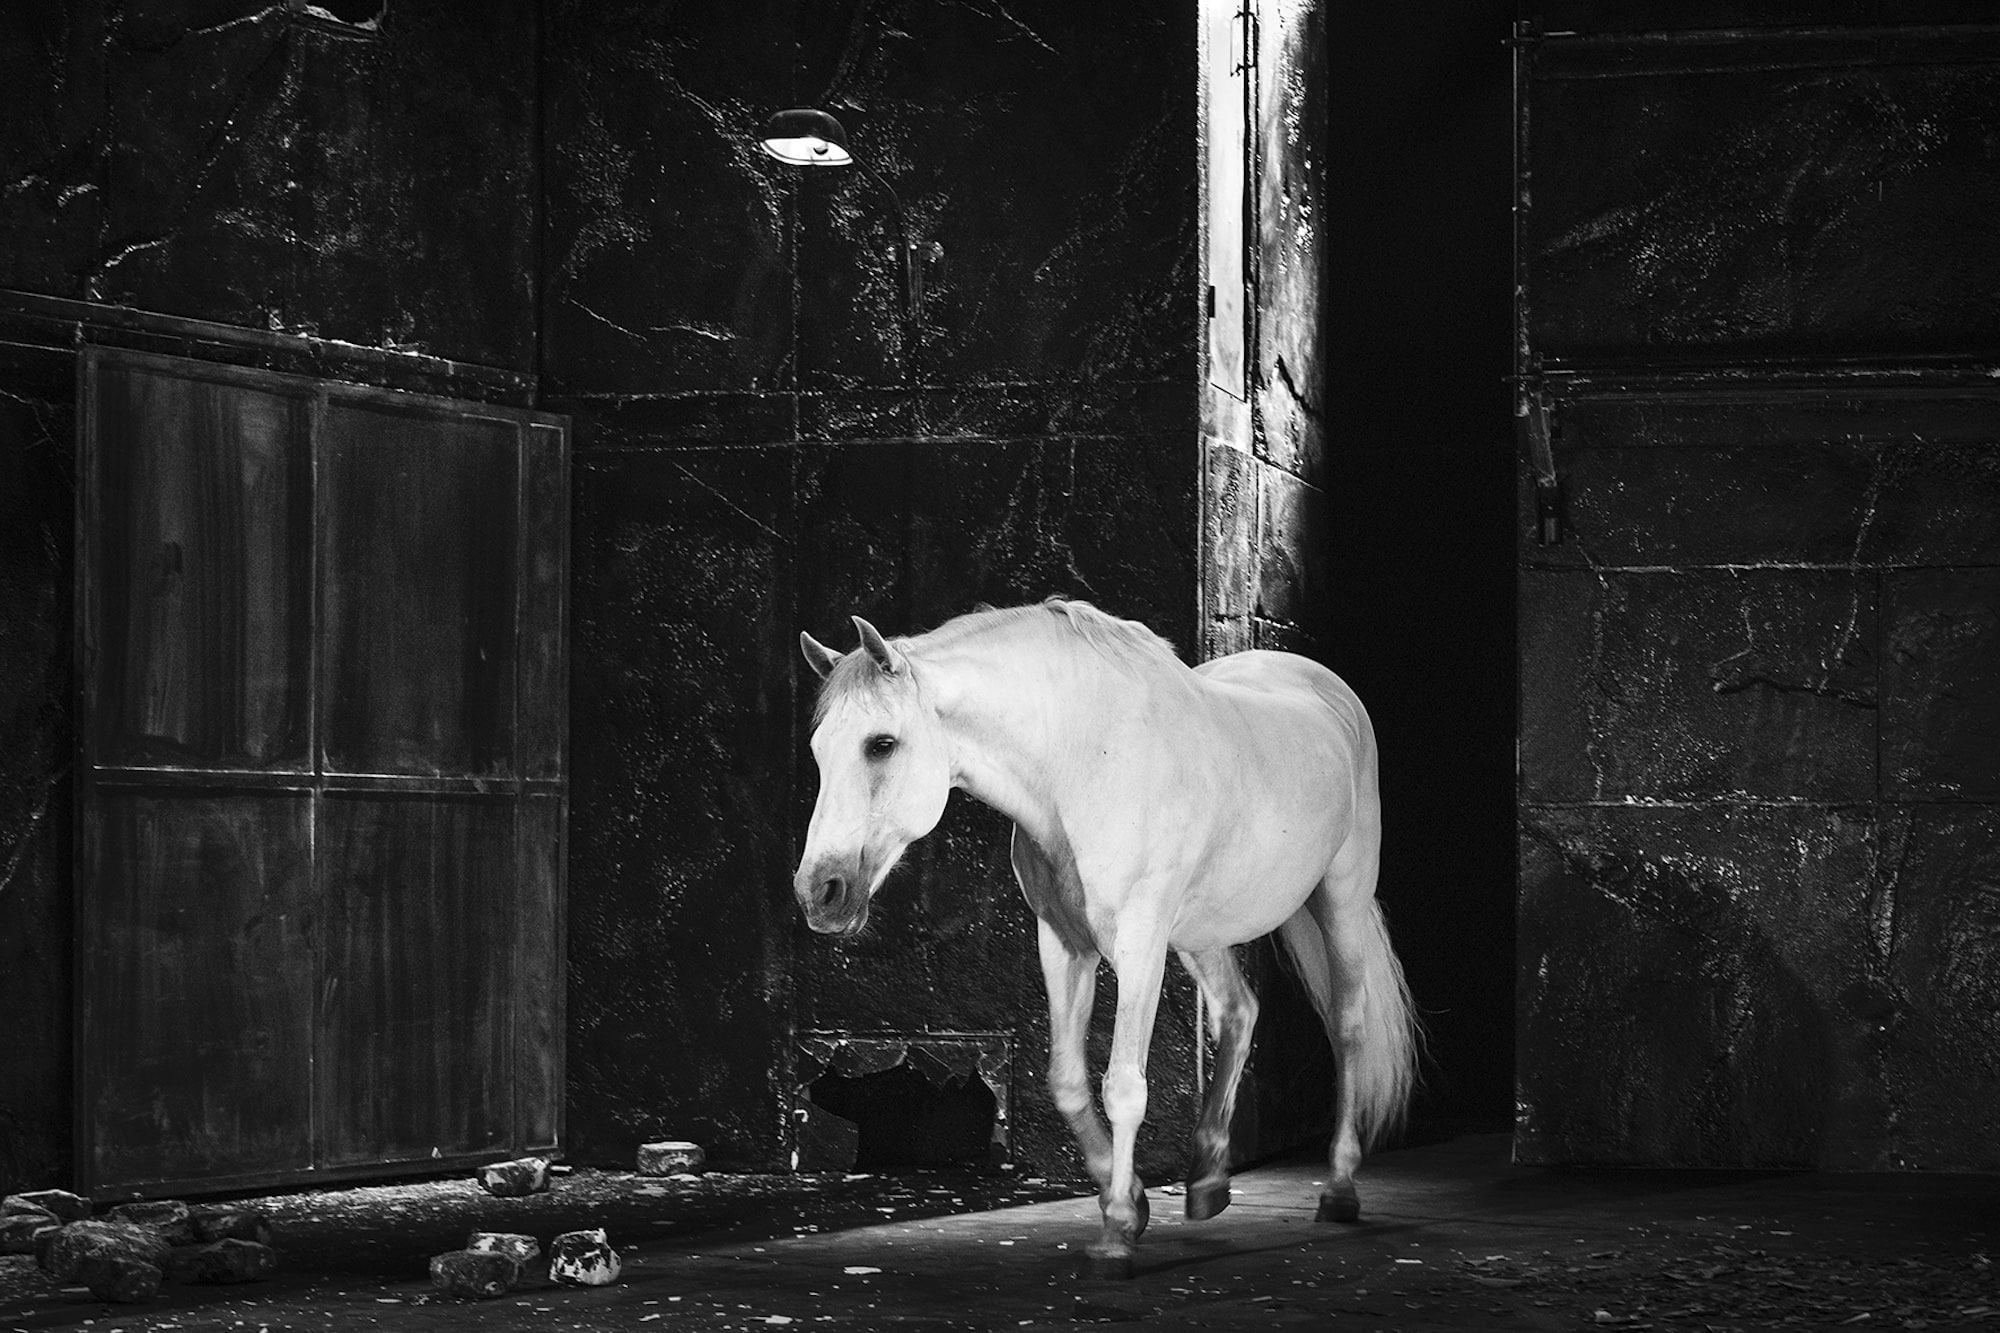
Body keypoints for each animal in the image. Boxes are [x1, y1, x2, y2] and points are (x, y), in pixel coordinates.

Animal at [793, 598, 1419, 1279]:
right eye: (819, 750)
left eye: (881, 744)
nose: (818, 892)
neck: (1085, 762)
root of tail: (1324, 687)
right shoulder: (1064, 945)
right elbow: (1067, 1082)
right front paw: (1135, 1202)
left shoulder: (1140, 944)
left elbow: (1123, 1085)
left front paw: (1118, 1231)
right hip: (1200, 931)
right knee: (1239, 1012)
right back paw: (1208, 1180)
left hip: (1340, 901)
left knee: (1349, 1024)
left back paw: (1339, 1187)